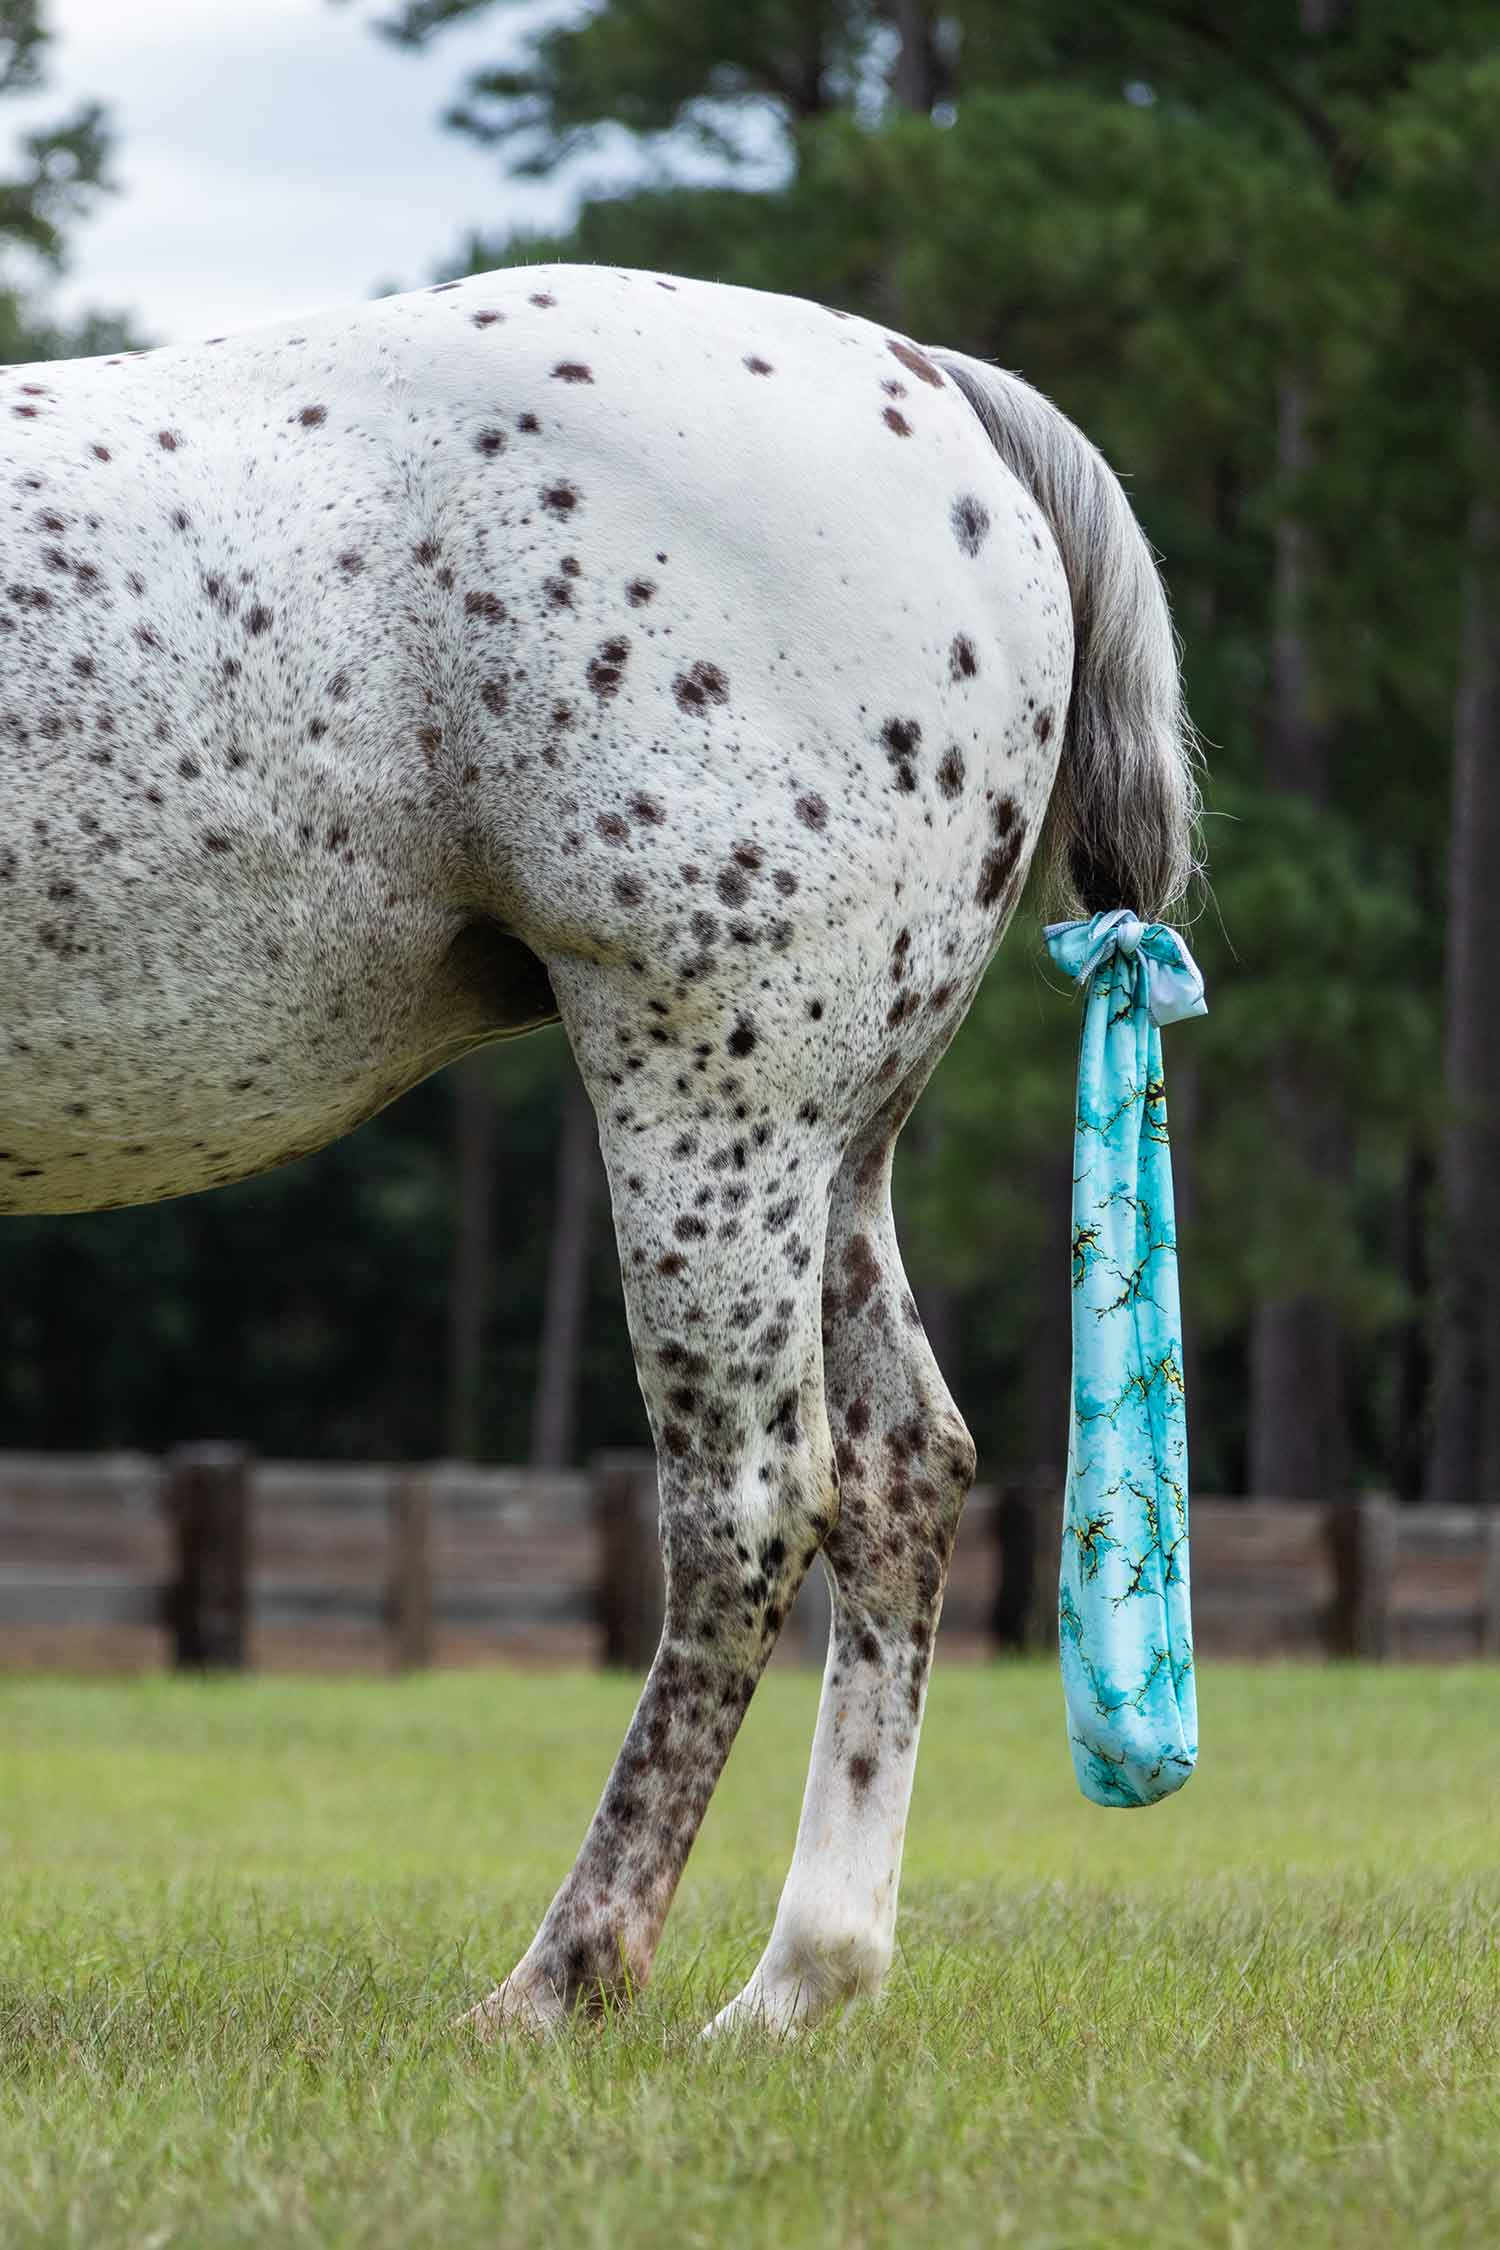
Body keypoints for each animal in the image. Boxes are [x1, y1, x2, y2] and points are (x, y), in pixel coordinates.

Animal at [0, 263, 1196, 2043]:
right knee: (907, 1468)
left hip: (707, 1094)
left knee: (754, 1503)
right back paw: (795, 1983)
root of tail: (929, 385)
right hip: (831, 1140)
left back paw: (564, 1974)